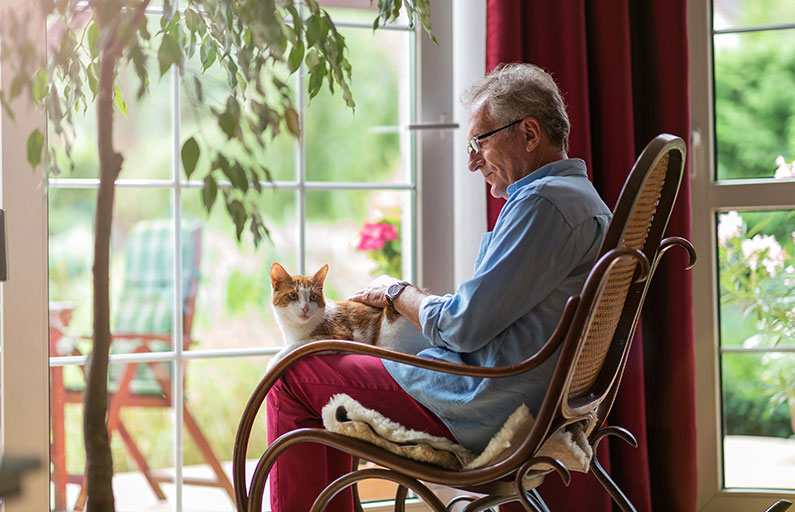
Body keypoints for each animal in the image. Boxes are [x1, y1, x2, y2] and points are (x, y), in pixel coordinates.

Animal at [268, 264, 432, 368]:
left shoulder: (338, 336)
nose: (305, 308)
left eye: (313, 297)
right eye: (293, 295)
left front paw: (274, 361)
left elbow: (297, 345)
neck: (296, 328)